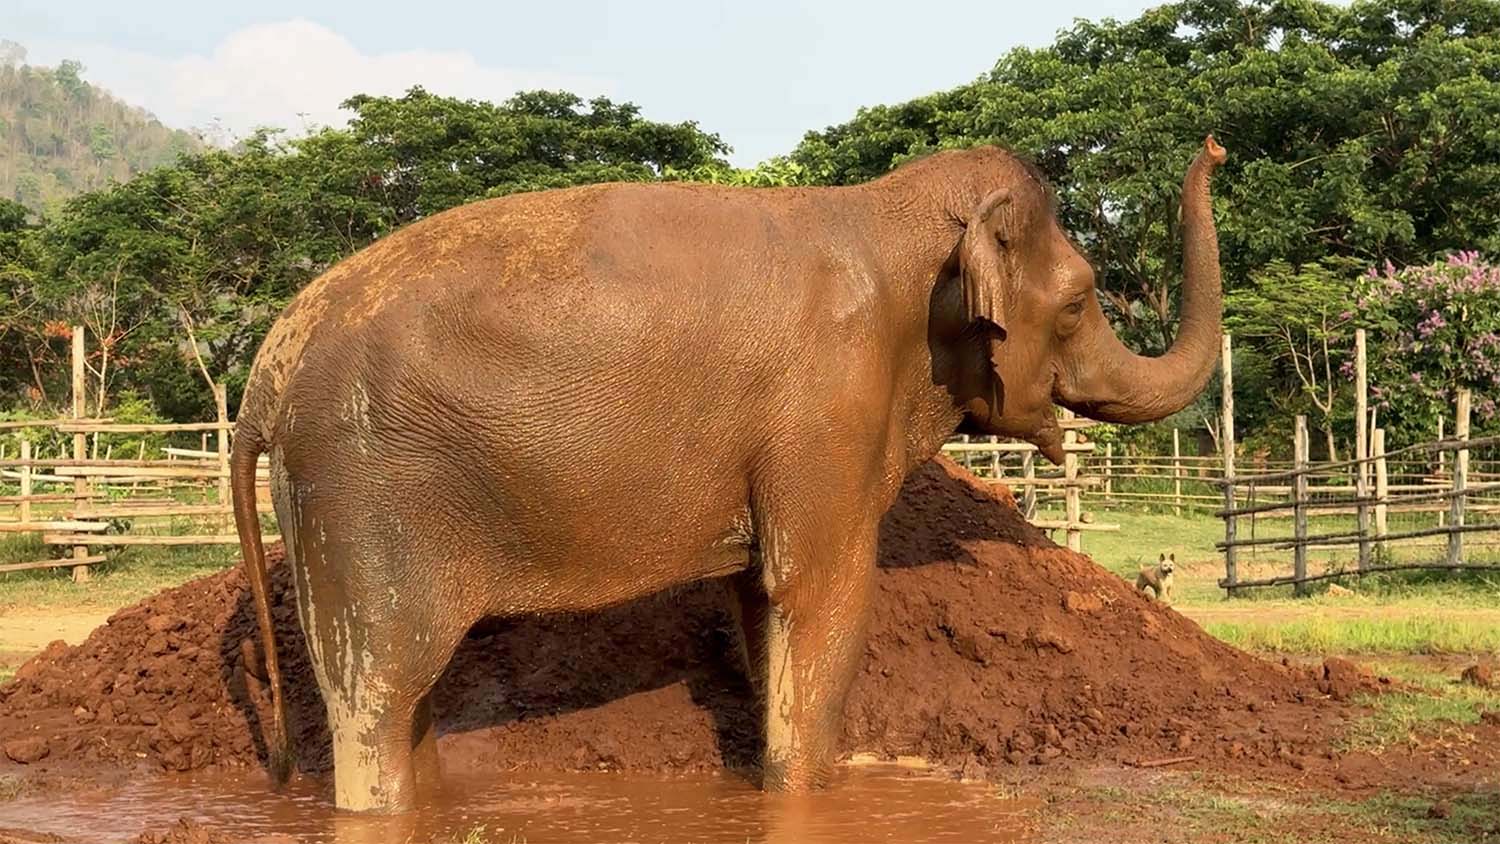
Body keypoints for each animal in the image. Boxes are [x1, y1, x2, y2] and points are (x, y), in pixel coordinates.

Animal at [230, 135, 1227, 813]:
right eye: (1081, 300)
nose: (1214, 145)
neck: (891, 214)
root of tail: (264, 371)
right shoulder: (827, 410)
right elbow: (822, 601)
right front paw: (815, 789)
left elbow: (763, 603)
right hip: (360, 494)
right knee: (375, 694)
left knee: (405, 701)